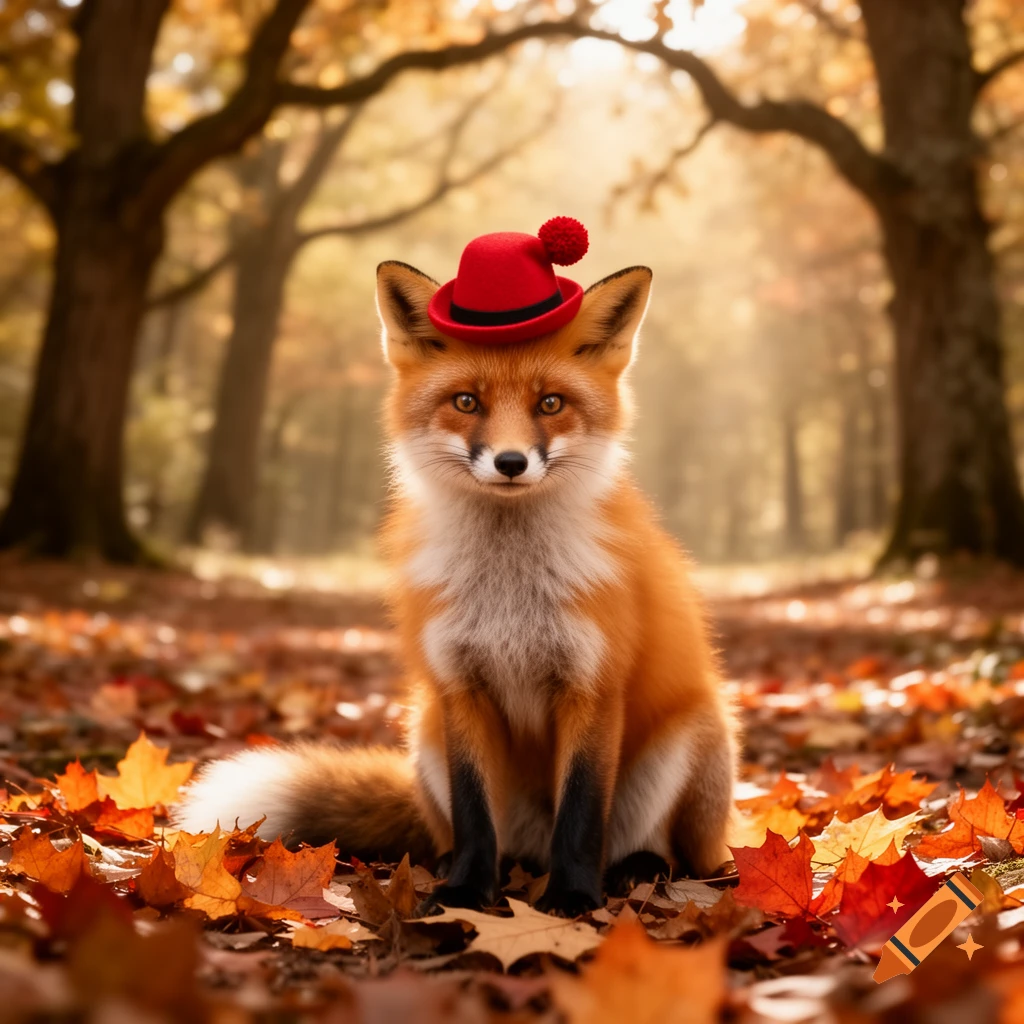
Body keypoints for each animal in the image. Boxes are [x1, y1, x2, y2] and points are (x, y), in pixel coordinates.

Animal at [174, 254, 737, 917]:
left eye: (550, 403)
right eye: (467, 401)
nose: (511, 462)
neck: (509, 594)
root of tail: (530, 851)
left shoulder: (593, 687)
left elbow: (580, 814)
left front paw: (574, 897)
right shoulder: (459, 686)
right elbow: (473, 814)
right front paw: (467, 891)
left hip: (696, 736)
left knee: (680, 857)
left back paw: (639, 869)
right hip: (425, 727)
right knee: (473, 835)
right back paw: (453, 865)